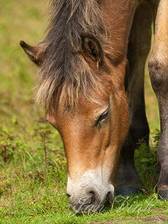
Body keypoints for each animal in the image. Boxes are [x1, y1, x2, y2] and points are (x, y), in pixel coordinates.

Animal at [20, 0, 168, 214]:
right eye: (53, 123)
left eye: (103, 115)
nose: (83, 200)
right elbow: (131, 59)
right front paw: (127, 180)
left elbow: (160, 68)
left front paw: (165, 183)